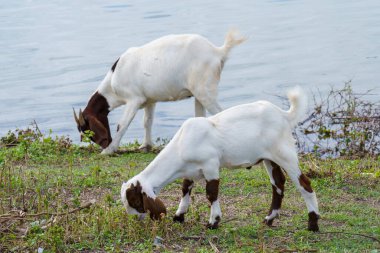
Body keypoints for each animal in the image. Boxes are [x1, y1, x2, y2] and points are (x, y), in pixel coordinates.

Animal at [73, 29, 246, 154]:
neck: (112, 82)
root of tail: (217, 52)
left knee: (220, 112)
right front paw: (146, 146)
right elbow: (147, 122)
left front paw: (109, 150)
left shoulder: (133, 99)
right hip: (199, 92)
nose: (105, 144)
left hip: (205, 90)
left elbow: (122, 124)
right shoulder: (149, 100)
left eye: (89, 131)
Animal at [121, 87, 320, 231]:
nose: (135, 219)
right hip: (268, 158)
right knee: (278, 184)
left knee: (304, 184)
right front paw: (179, 216)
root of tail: (283, 115)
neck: (181, 145)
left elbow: (211, 193)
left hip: (285, 153)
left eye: (136, 202)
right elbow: (185, 189)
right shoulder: (190, 171)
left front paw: (213, 222)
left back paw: (313, 225)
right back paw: (269, 219)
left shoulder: (210, 165)